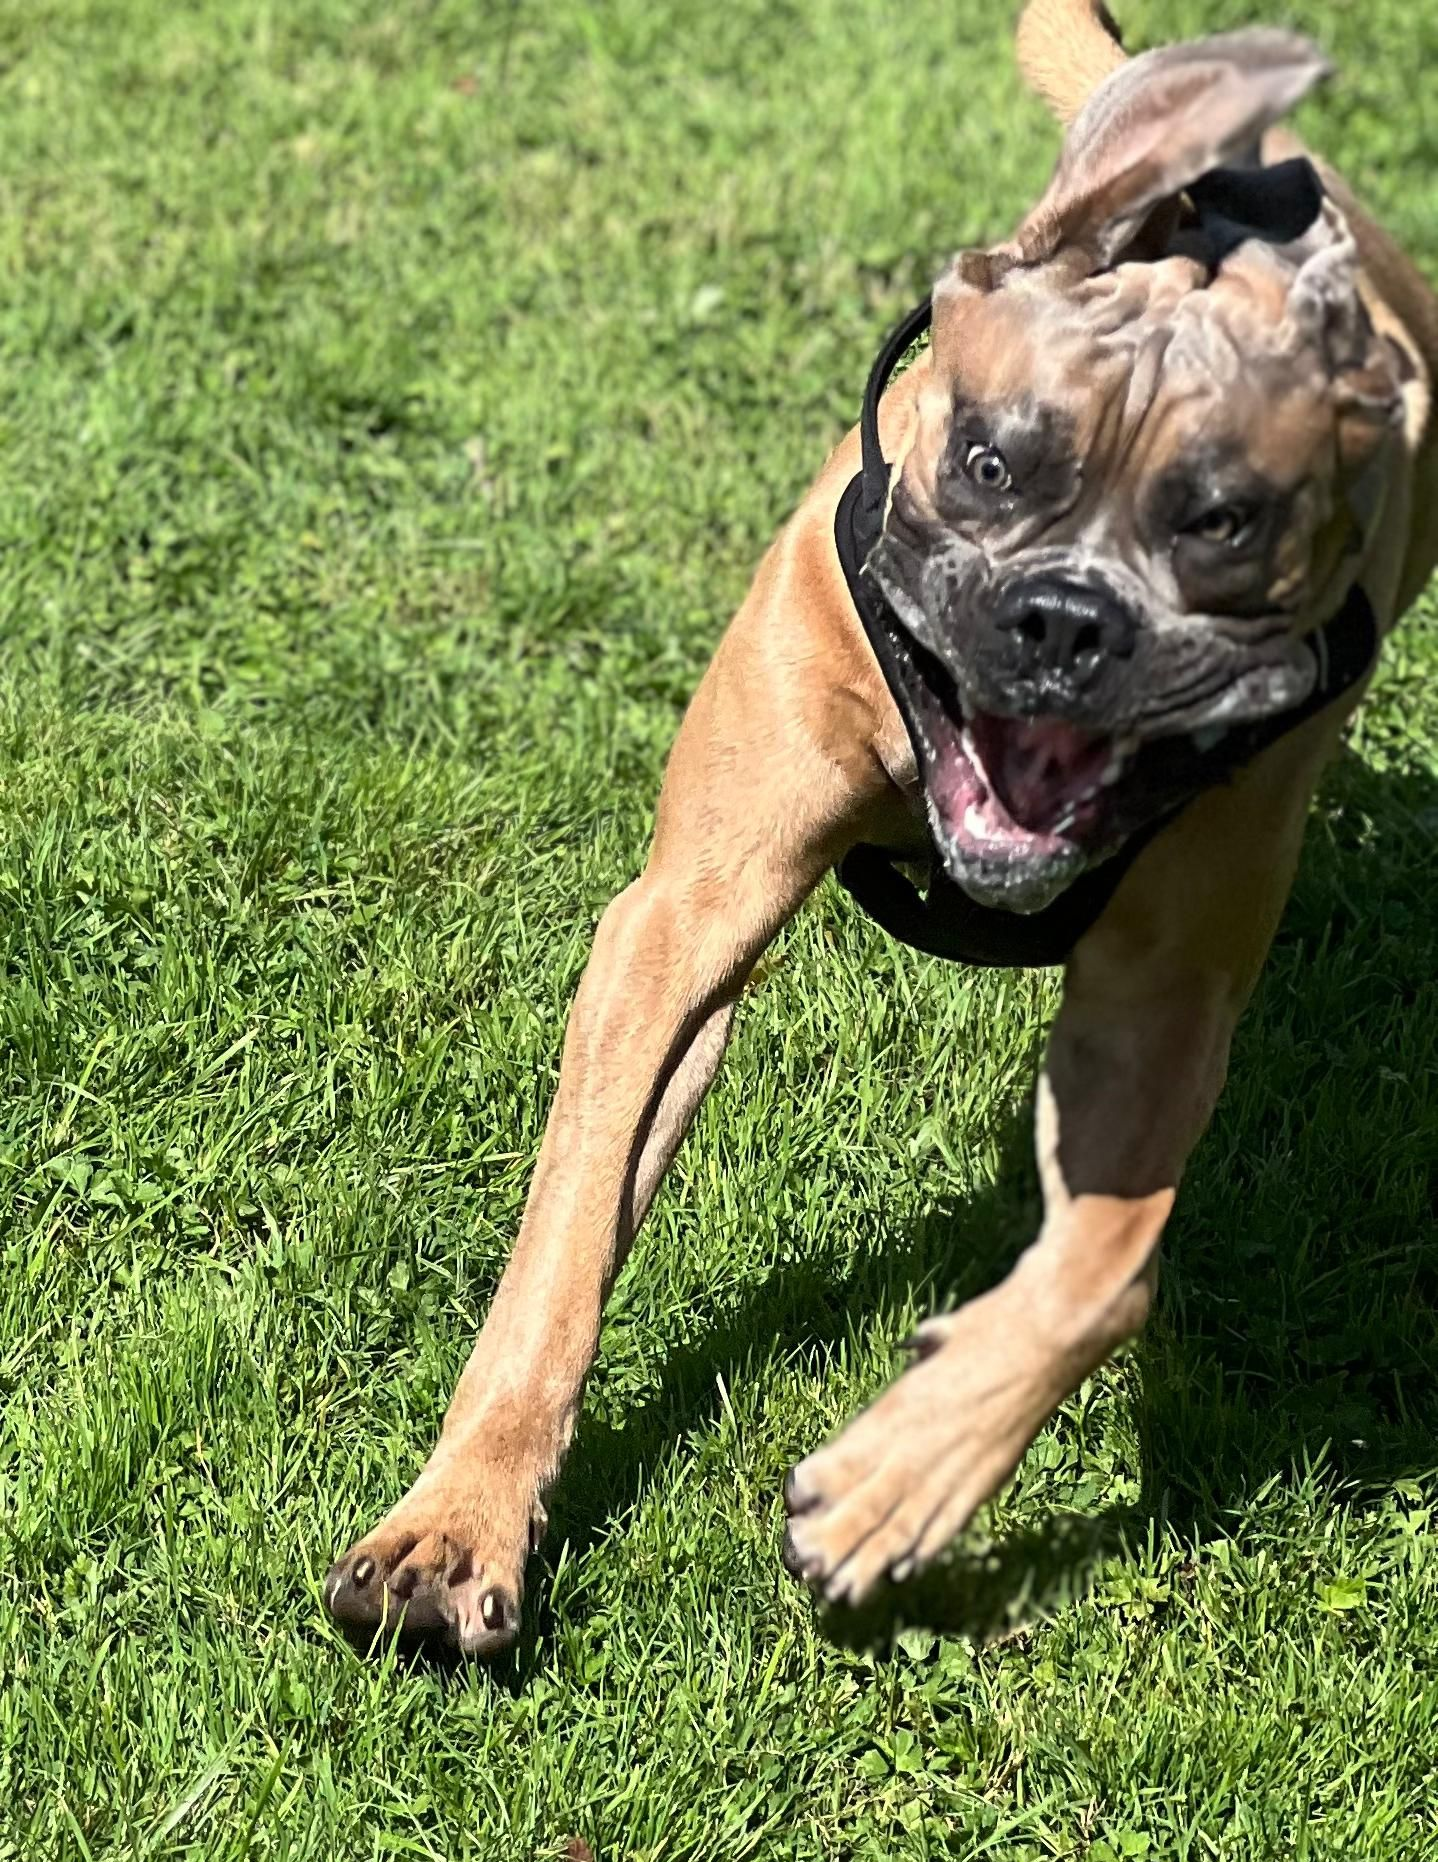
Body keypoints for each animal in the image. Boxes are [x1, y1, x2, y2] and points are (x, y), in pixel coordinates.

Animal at [325, 0, 1438, 1653]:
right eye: (987, 461)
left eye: (1220, 521)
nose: (1064, 621)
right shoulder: (679, 919)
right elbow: (563, 1240)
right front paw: (456, 1523)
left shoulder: (1155, 1004)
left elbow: (1101, 1270)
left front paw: (899, 1479)